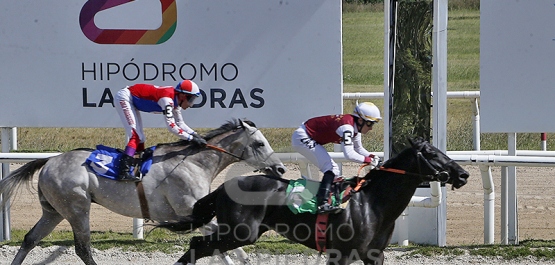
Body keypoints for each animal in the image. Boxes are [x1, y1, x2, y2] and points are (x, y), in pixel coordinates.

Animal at [0, 119, 286, 264]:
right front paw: (243, 257)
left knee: (30, 239)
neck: (195, 163)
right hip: (77, 208)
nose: (281, 168)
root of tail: (49, 161)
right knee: (83, 248)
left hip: (54, 211)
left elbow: (219, 247)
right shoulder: (189, 211)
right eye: (260, 143)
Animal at [159, 137, 472, 262]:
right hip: (240, 232)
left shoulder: (374, 254)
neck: (372, 204)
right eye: (431, 154)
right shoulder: (342, 253)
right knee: (198, 244)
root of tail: (224, 186)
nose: (464, 173)